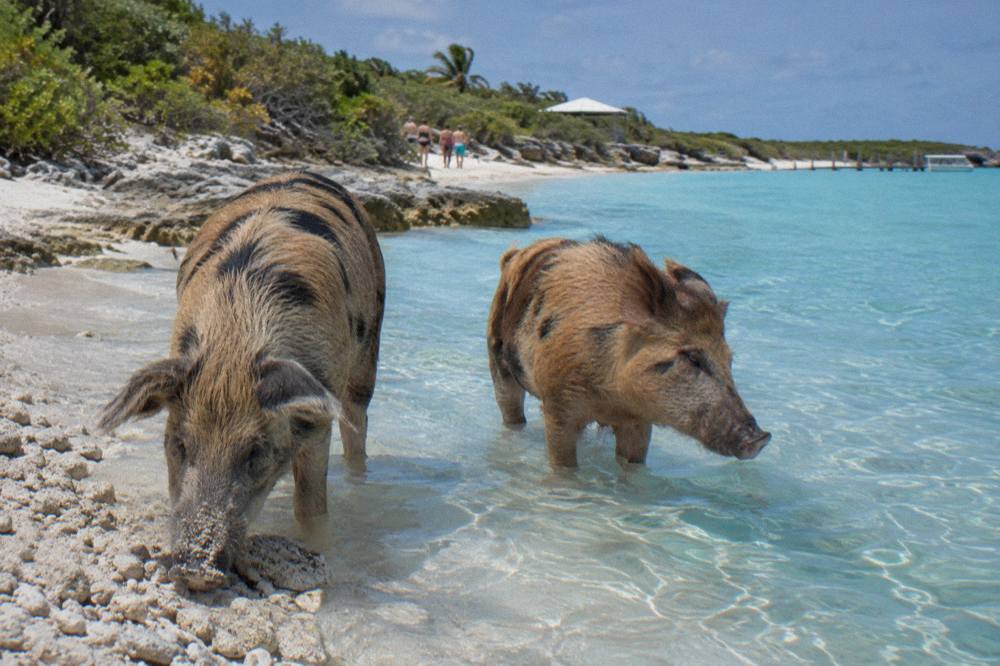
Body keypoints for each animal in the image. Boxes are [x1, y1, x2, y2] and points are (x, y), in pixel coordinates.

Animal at [99, 171, 385, 590]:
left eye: (255, 452)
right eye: (178, 444)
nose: (196, 569)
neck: (235, 340)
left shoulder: (319, 413)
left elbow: (310, 505)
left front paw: (319, 545)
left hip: (369, 350)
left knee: (357, 423)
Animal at [487, 236, 770, 467]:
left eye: (730, 359)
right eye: (692, 357)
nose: (762, 438)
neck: (612, 398)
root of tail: (516, 255)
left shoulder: (640, 421)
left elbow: (633, 464)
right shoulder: (557, 406)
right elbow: (563, 464)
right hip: (496, 354)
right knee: (510, 410)